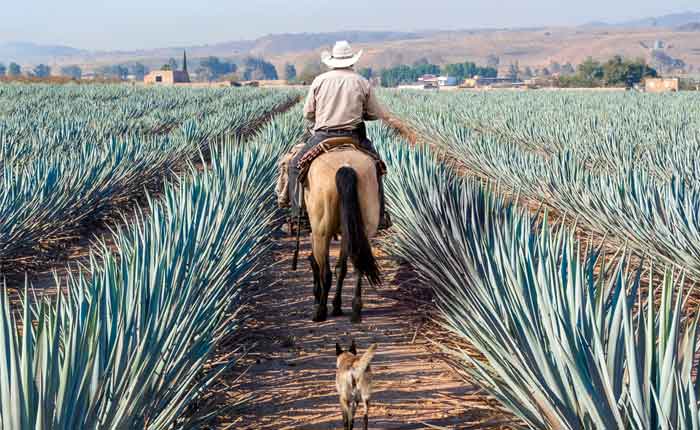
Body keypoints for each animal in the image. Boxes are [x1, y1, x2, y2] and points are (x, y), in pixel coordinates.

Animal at [298, 148, 380, 322]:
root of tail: (346, 167)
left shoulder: (315, 234)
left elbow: (318, 265)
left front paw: (319, 300)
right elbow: (341, 269)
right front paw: (337, 306)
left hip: (322, 232)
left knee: (325, 272)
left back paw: (320, 311)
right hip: (362, 228)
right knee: (358, 266)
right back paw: (355, 310)